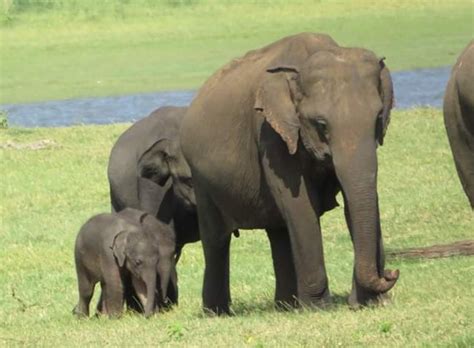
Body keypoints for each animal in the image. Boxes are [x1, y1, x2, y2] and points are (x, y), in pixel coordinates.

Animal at [181, 32, 400, 314]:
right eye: (321, 125)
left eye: (377, 118)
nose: (392, 273)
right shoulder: (270, 134)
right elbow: (300, 205)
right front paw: (319, 308)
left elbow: (355, 200)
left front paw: (367, 303)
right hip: (202, 180)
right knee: (216, 239)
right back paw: (217, 312)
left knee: (279, 231)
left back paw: (285, 306)